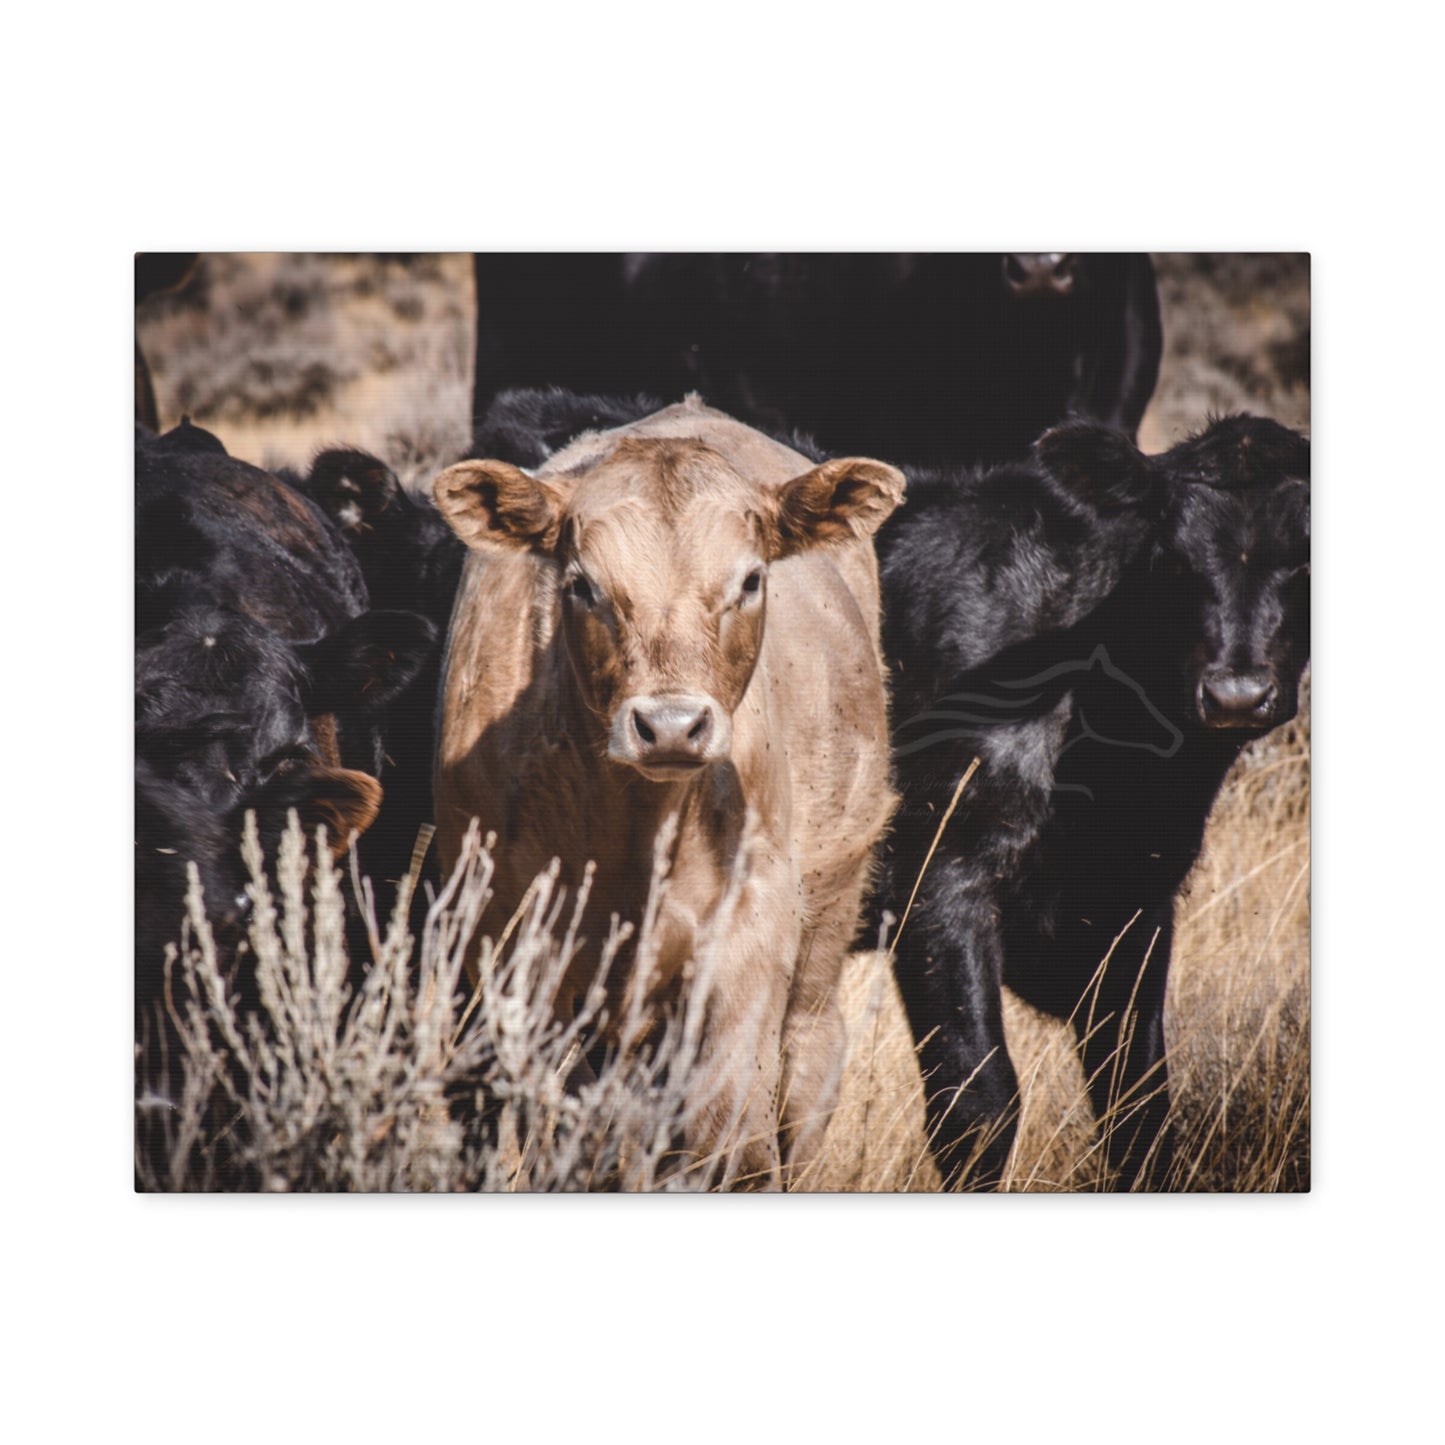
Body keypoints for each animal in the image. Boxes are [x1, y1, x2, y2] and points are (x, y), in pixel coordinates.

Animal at [431, 396, 905, 1188]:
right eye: (582, 584)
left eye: (750, 580)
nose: (672, 726)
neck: (633, 837)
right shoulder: (512, 949)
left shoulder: (748, 938)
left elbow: (728, 1138)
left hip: (827, 917)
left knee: (807, 1065)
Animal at [877, 414, 1311, 1189]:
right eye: (1172, 559)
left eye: (1307, 558)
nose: (1236, 694)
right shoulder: (936, 878)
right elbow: (977, 1107)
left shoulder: (1137, 901)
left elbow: (1138, 1107)